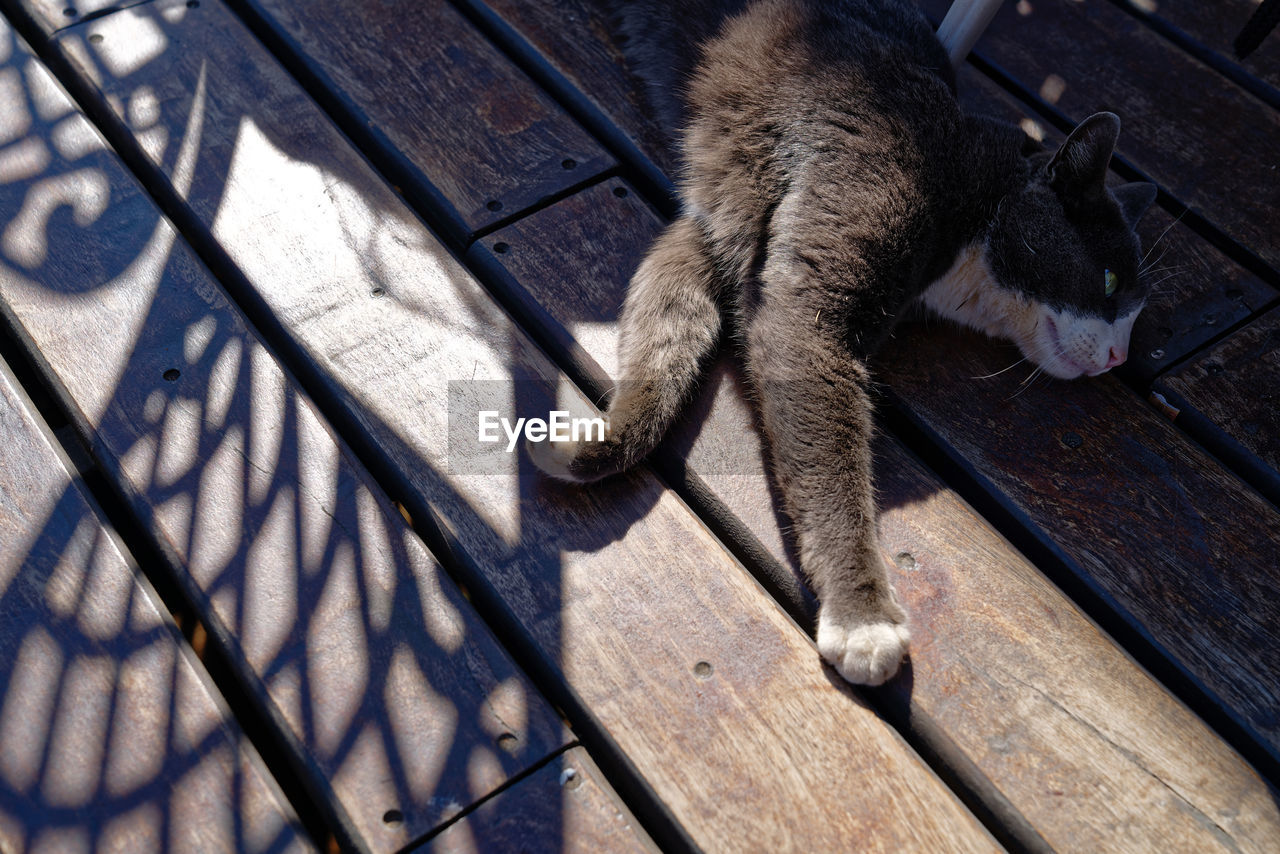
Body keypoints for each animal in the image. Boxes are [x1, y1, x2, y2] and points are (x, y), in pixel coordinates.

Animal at [529, 0, 1162, 686]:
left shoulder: (709, 231)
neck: (962, 170)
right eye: (1109, 280)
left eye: (1135, 312)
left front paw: (596, 443)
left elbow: (664, 341)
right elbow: (829, 463)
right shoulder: (806, 306)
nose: (1118, 356)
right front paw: (863, 618)